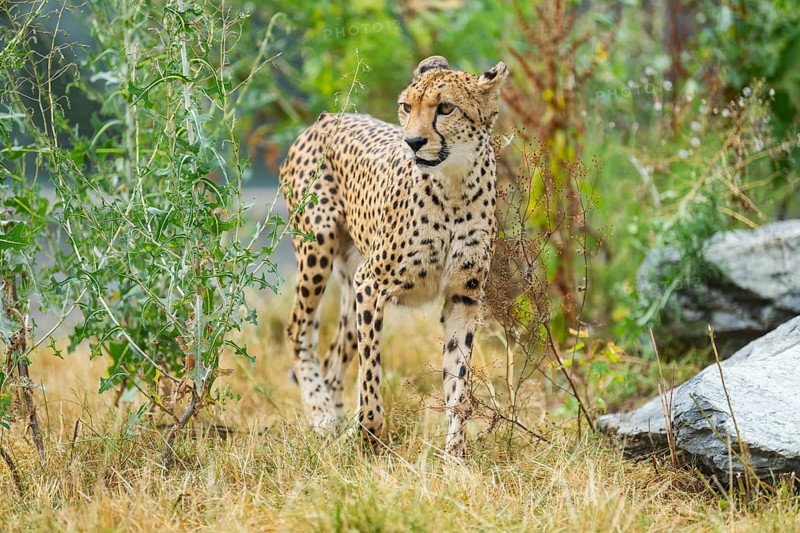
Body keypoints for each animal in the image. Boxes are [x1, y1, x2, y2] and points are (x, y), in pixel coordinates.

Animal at [279, 55, 508, 456]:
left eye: (445, 108)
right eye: (406, 106)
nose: (413, 142)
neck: (455, 187)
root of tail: (327, 118)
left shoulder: (463, 296)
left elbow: (458, 384)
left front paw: (455, 455)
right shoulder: (371, 284)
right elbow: (370, 374)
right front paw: (368, 436)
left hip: (349, 278)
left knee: (334, 355)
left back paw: (335, 422)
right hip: (317, 246)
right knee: (298, 330)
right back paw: (321, 415)